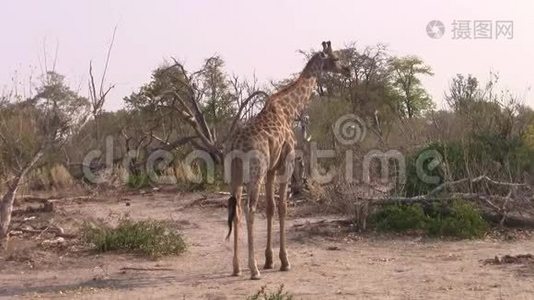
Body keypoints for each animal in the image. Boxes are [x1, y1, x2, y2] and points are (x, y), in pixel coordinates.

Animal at [224, 41, 350, 280]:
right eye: (336, 58)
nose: (347, 70)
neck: (290, 109)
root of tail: (235, 146)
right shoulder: (287, 163)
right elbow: (283, 207)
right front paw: (284, 261)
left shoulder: (272, 169)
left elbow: (271, 208)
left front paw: (269, 260)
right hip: (255, 173)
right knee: (249, 210)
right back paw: (253, 270)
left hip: (234, 177)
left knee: (235, 212)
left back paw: (236, 268)